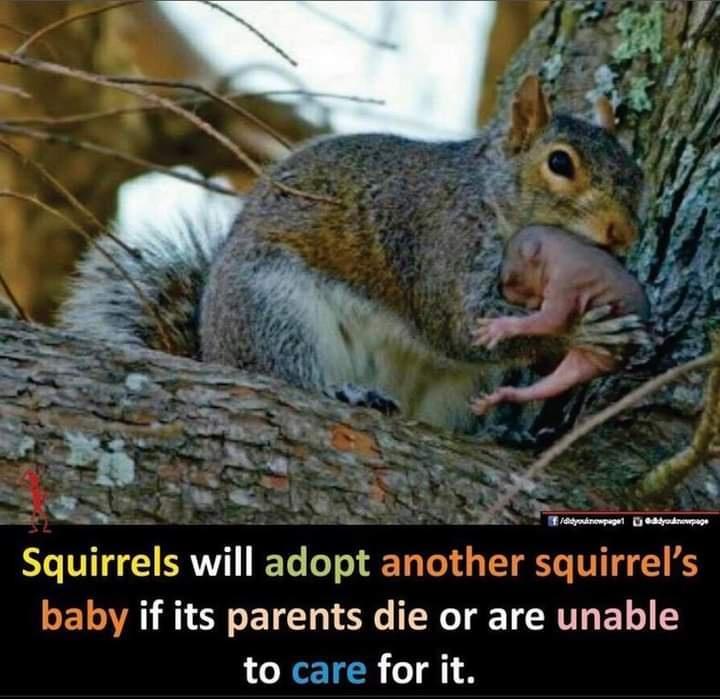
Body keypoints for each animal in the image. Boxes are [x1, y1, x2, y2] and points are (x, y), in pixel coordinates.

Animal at [470, 224, 651, 415]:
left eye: (510, 280)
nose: (498, 289)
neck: (562, 249)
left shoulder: (565, 282)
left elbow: (553, 320)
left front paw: (499, 327)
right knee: (557, 383)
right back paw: (502, 397)